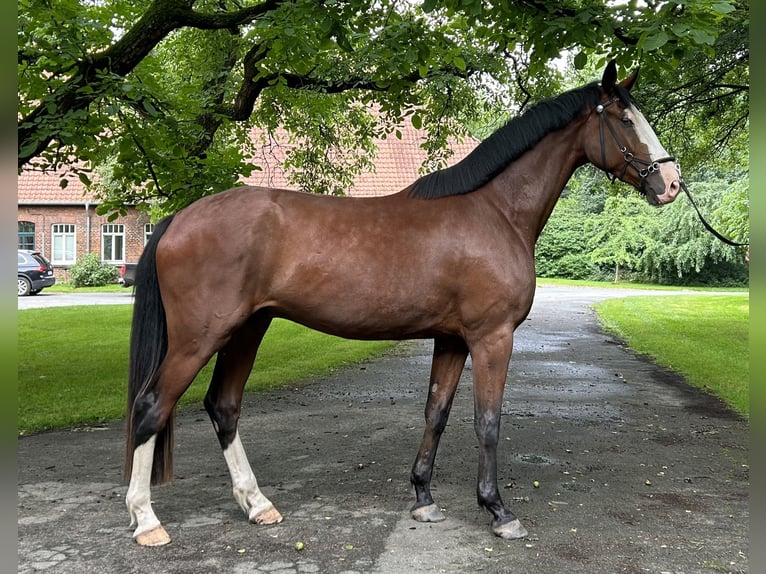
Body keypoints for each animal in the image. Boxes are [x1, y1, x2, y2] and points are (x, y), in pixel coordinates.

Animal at [124, 60, 684, 548]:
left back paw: (258, 505)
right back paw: (147, 520)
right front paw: (498, 511)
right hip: (200, 337)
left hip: (247, 329)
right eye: (625, 120)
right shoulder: (492, 337)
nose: (671, 183)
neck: (497, 211)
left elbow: (436, 412)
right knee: (151, 407)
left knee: (223, 406)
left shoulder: (453, 340)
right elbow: (488, 421)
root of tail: (177, 219)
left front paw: (423, 498)